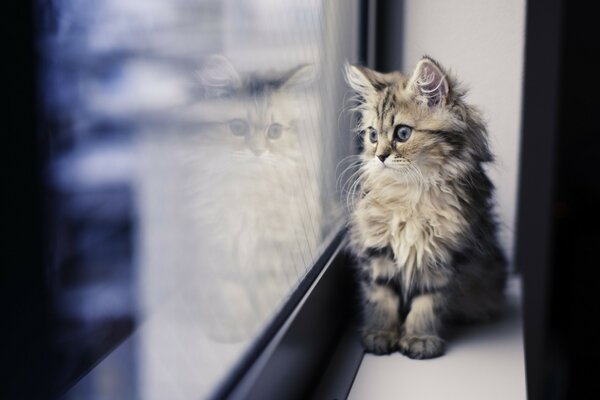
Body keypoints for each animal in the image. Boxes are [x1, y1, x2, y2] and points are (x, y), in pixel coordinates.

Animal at [342, 56, 506, 360]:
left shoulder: (444, 255)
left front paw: (420, 339)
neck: (411, 195)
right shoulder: (377, 251)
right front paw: (380, 335)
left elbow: (428, 304)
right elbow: (381, 299)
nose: (379, 156)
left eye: (403, 133)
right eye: (373, 135)